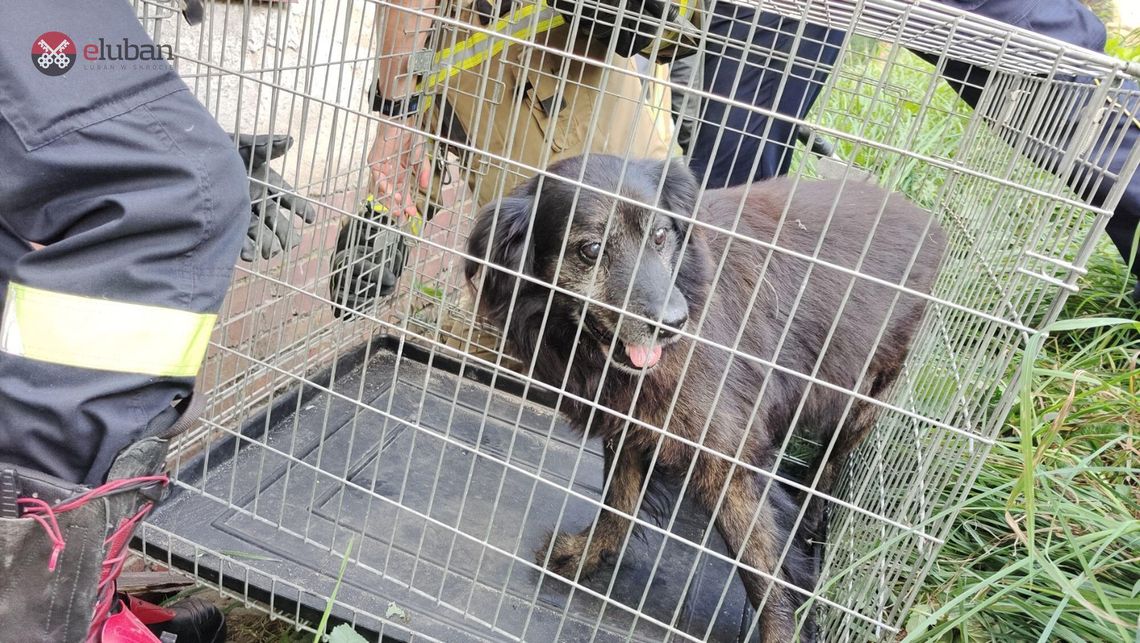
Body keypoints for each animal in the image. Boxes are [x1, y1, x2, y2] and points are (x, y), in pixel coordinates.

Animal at [462, 153, 943, 638]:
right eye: (592, 250)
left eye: (660, 235)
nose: (675, 322)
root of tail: (925, 219)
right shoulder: (629, 420)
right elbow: (619, 501)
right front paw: (588, 555)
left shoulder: (727, 462)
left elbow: (766, 575)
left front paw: (782, 633)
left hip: (863, 397)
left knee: (832, 458)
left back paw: (810, 508)